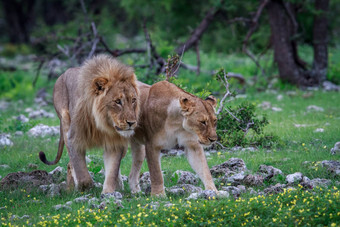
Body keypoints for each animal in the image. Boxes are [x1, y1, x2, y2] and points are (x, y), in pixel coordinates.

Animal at [39, 54, 140, 192]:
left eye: (133, 100)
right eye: (118, 101)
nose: (131, 122)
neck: (102, 122)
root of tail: (62, 75)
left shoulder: (115, 141)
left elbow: (112, 170)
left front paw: (108, 193)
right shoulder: (73, 138)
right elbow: (81, 171)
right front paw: (85, 186)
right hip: (64, 118)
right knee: (70, 163)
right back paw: (70, 188)